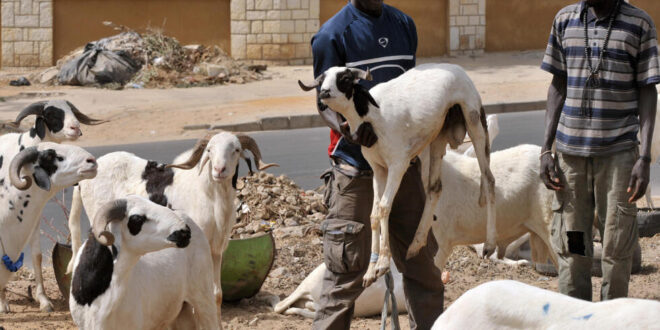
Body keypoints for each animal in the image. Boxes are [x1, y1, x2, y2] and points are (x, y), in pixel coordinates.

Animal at [0, 100, 104, 312]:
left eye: (72, 111)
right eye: (52, 114)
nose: (76, 128)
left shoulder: (33, 217)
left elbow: (37, 255)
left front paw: (44, 300)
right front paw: (3, 302)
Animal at [69, 130, 278, 312]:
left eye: (235, 149)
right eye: (210, 150)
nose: (219, 170)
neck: (210, 197)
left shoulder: (217, 250)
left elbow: (216, 295)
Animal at [300, 63, 496, 286]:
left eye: (346, 78)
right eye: (322, 79)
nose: (324, 93)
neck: (373, 115)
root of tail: (456, 68)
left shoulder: (398, 164)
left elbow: (385, 207)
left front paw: (383, 263)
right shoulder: (378, 168)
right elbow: (374, 213)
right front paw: (370, 270)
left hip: (475, 122)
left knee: (489, 179)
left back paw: (489, 244)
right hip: (438, 135)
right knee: (435, 188)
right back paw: (415, 244)